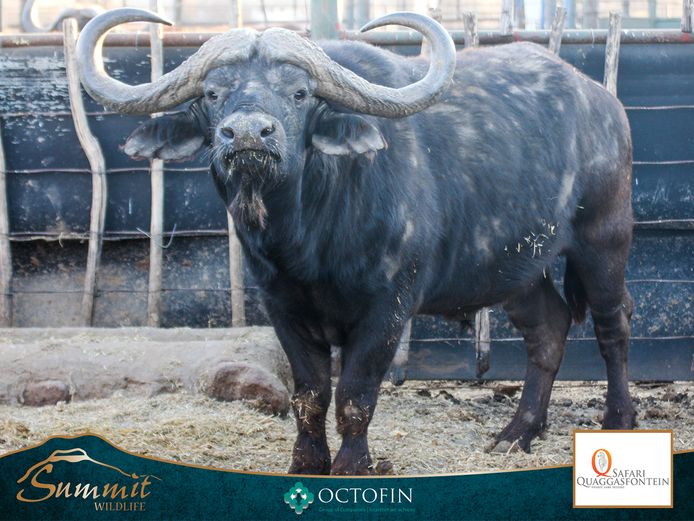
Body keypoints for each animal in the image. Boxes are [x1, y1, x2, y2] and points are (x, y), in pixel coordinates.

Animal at [76, 8, 636, 475]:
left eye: (299, 93)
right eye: (213, 94)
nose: (249, 134)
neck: (308, 239)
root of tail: (604, 104)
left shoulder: (388, 309)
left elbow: (354, 395)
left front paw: (352, 466)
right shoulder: (283, 308)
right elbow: (310, 395)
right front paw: (306, 463)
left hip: (603, 240)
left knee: (614, 328)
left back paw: (619, 419)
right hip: (519, 267)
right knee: (549, 329)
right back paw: (517, 433)